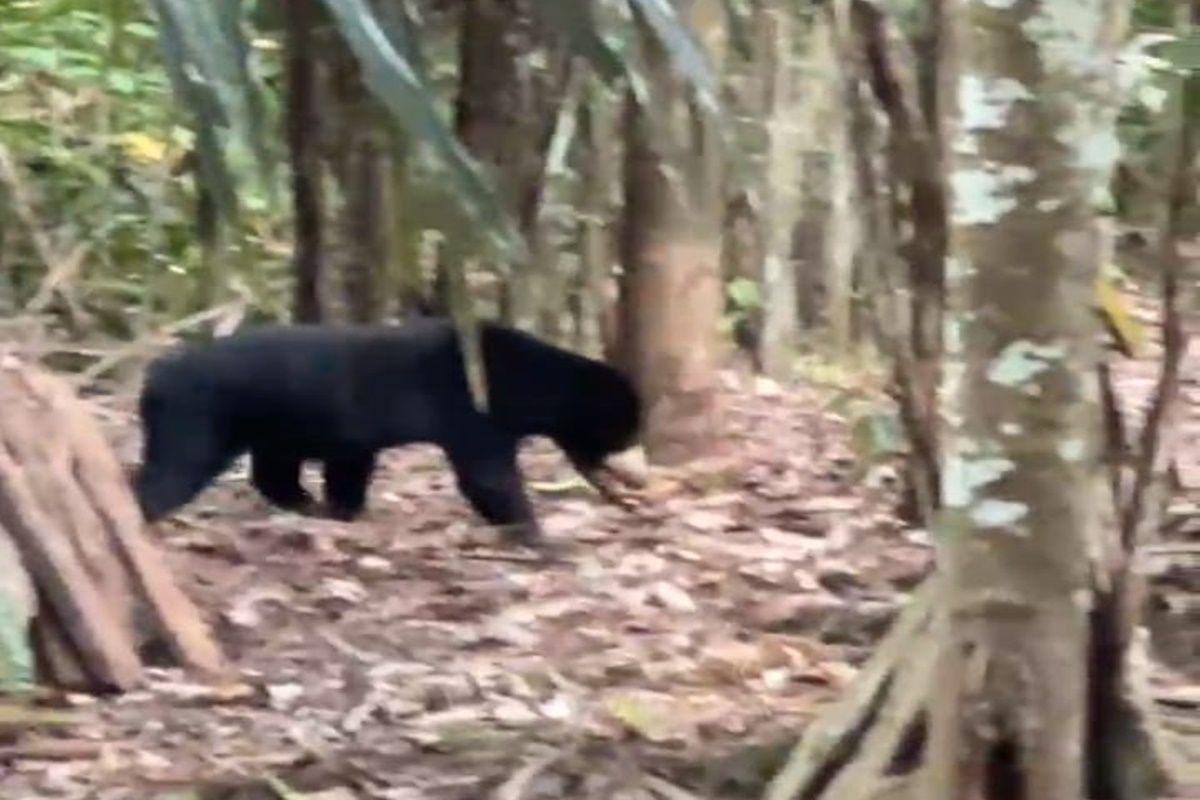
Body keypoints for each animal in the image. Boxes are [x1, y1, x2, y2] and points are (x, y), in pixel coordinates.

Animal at [135, 321, 643, 544]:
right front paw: (536, 533)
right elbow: (490, 480)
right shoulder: (474, 425)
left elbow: (349, 473)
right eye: (623, 424)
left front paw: (345, 512)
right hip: (197, 427)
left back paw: (305, 506)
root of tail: (155, 376)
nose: (633, 462)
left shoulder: (352, 440)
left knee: (273, 475)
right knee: (163, 479)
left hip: (276, 430)